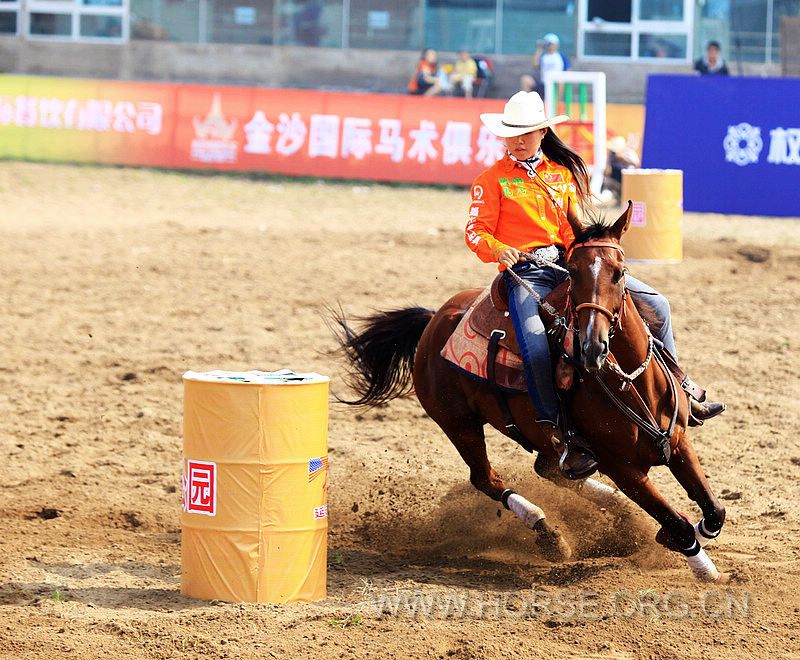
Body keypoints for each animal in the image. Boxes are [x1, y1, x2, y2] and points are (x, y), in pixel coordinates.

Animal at [328, 202, 728, 584]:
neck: (631, 384)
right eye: (574, 272)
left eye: (620, 271)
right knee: (487, 479)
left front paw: (676, 536)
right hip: (459, 423)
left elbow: (713, 512)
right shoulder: (622, 467)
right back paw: (547, 531)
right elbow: (676, 521)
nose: (592, 347)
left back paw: (615, 510)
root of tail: (433, 320)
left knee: (551, 470)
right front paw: (703, 568)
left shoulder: (677, 442)